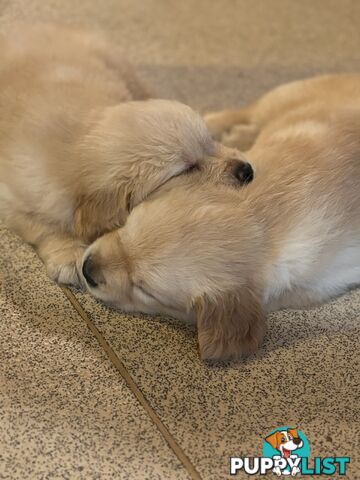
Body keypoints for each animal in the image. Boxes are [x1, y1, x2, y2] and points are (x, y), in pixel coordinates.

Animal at [0, 23, 253, 284]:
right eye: (188, 169)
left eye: (210, 143)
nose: (247, 170)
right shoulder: (13, 197)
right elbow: (41, 226)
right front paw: (68, 254)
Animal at [79, 75, 360, 358]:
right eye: (126, 227)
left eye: (143, 288)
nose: (86, 269)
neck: (271, 214)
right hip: (282, 97)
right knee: (241, 112)